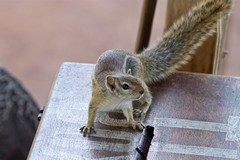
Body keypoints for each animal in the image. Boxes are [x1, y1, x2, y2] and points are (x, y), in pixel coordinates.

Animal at [80, 0, 232, 136]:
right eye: (125, 86)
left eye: (135, 80)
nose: (140, 91)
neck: (117, 100)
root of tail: (138, 58)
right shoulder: (97, 99)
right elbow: (91, 111)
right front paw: (89, 125)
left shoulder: (127, 104)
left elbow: (129, 113)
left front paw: (133, 122)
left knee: (149, 98)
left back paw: (141, 108)